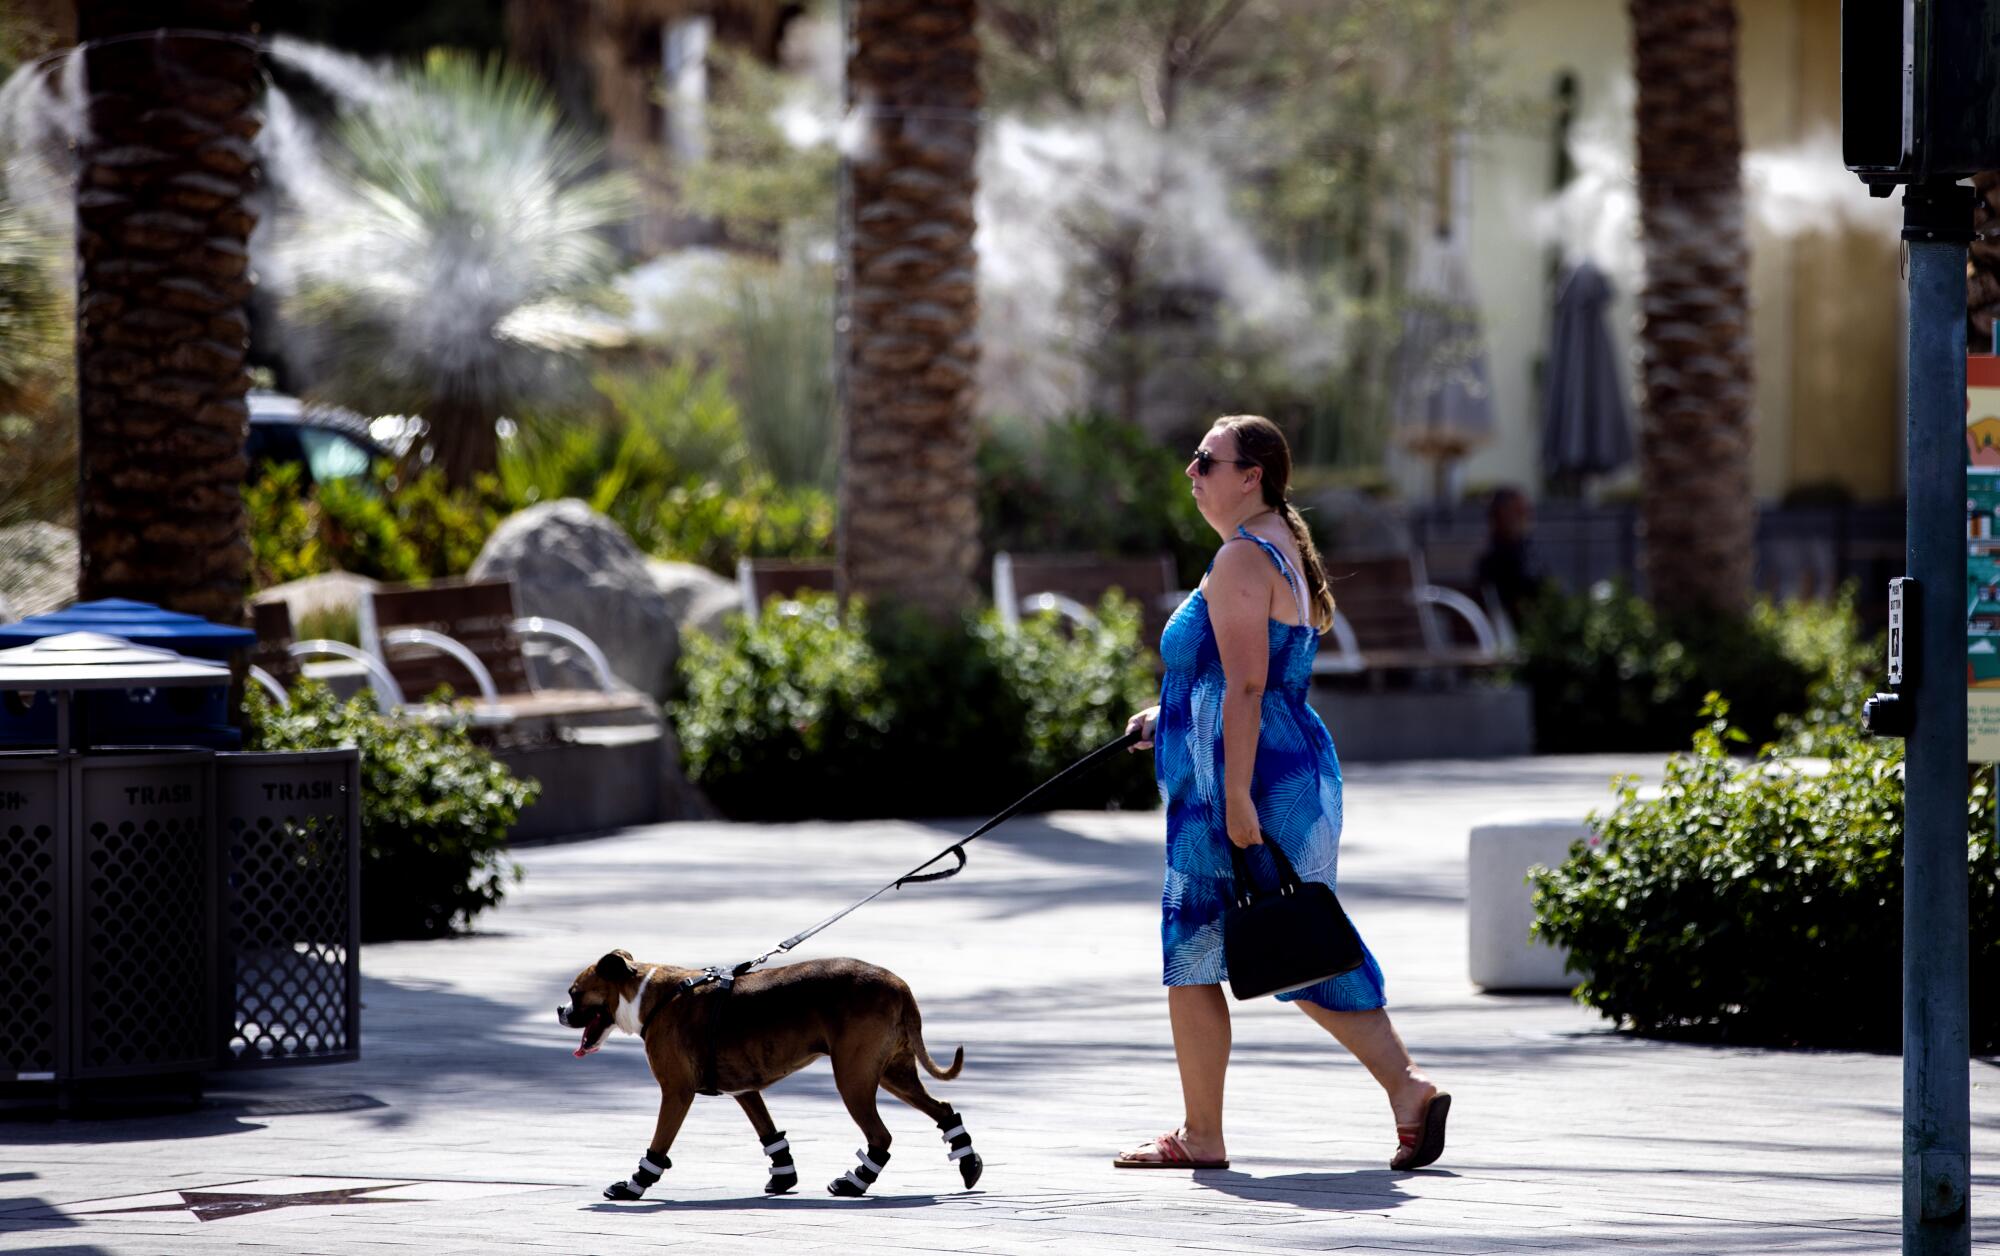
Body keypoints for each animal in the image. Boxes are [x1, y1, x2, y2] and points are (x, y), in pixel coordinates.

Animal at [560, 952, 980, 1200]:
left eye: (575, 992)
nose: (560, 1011)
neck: (654, 995)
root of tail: (899, 985)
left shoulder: (676, 1093)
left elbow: (658, 1146)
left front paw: (634, 1185)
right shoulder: (746, 1090)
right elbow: (769, 1133)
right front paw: (783, 1177)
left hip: (854, 1079)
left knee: (881, 1135)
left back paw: (856, 1181)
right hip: (893, 1073)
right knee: (943, 1109)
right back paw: (967, 1162)